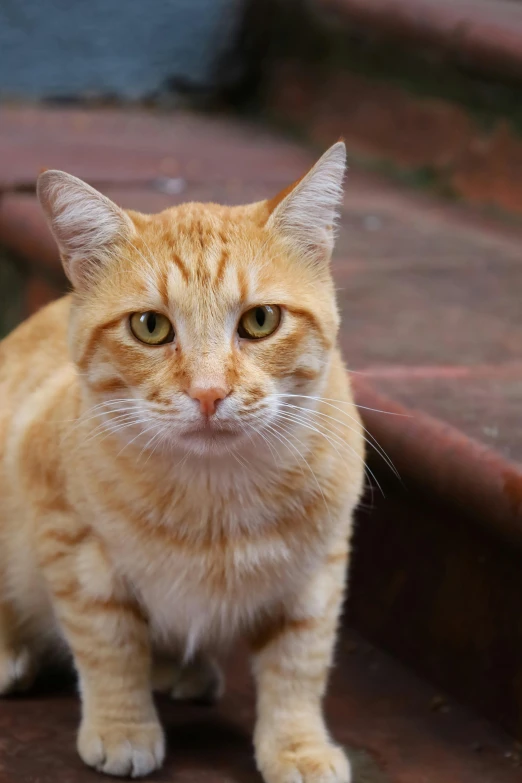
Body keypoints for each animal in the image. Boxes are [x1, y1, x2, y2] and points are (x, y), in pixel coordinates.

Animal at [0, 142, 362, 783]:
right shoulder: (73, 544)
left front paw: (298, 747)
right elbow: (108, 644)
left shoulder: (317, 568)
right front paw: (123, 728)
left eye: (261, 320)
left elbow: (299, 663)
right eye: (150, 326)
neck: (214, 496)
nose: (209, 393)